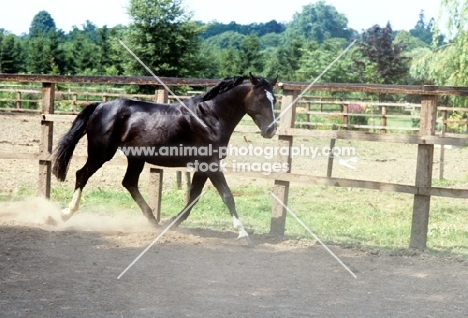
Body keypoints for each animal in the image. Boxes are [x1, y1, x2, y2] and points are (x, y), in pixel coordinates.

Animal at [51, 73, 278, 240]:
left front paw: (172, 223)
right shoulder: (210, 163)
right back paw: (65, 214)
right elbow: (226, 195)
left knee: (129, 183)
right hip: (101, 153)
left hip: (135, 158)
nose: (271, 131)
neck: (209, 117)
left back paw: (153, 221)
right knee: (82, 175)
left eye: (274, 99)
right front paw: (243, 233)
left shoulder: (203, 165)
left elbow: (194, 196)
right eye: (260, 98)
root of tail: (100, 105)